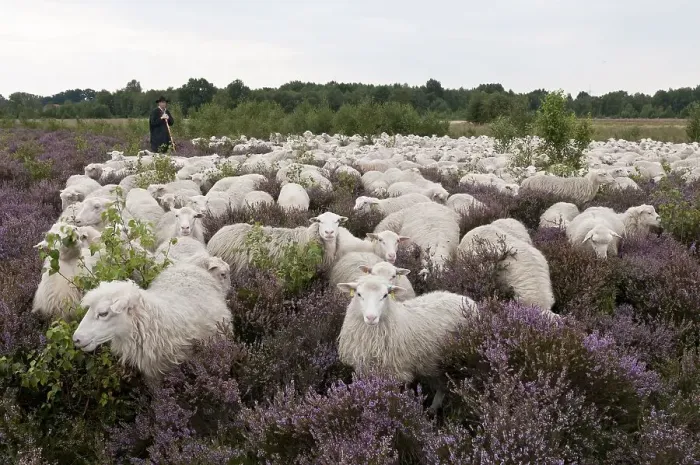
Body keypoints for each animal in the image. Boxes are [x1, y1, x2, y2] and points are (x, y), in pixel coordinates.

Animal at [336, 276, 477, 411]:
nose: (371, 317)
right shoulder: (367, 370)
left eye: (385, 295)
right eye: (359, 294)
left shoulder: (398, 373)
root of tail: (467, 300)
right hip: (432, 362)